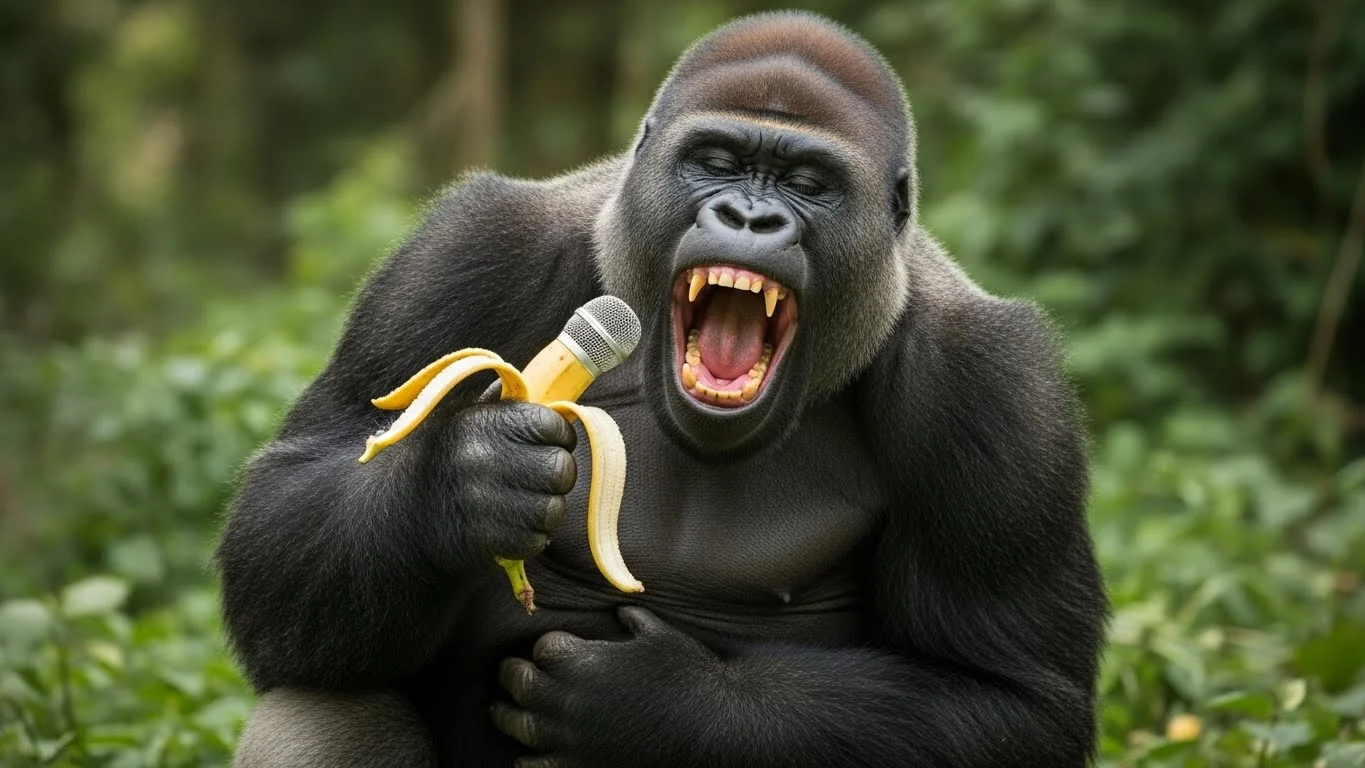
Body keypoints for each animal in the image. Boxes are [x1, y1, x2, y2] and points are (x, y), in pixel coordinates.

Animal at [216, 11, 1107, 767]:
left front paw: (660, 705)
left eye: (808, 181)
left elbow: (1013, 699)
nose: (748, 218)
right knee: (325, 704)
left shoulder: (991, 387)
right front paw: (458, 484)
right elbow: (285, 515)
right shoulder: (465, 252)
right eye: (714, 162)